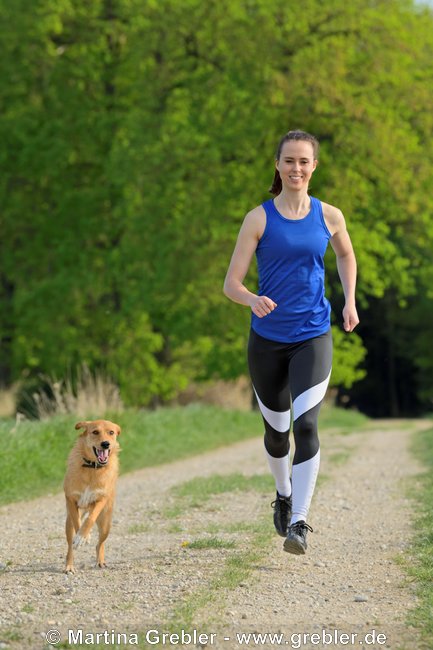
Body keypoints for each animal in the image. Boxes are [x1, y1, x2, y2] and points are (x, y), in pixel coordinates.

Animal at [62, 418, 120, 568]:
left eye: (111, 432)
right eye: (95, 432)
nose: (105, 444)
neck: (92, 467)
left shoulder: (101, 499)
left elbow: (90, 518)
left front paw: (84, 535)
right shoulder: (70, 499)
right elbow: (77, 521)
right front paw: (83, 537)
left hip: (106, 525)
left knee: (100, 543)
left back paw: (100, 560)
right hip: (68, 524)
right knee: (70, 545)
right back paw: (69, 566)